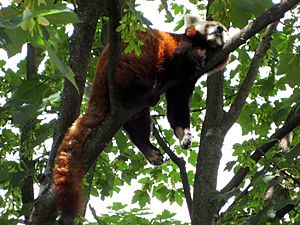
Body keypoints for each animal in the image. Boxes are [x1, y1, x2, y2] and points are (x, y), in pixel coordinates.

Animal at [52, 14, 230, 219]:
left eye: (224, 29)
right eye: (212, 25)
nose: (219, 29)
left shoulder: (185, 83)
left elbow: (177, 106)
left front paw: (183, 134)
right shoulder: (179, 49)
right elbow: (180, 62)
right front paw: (201, 53)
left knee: (138, 123)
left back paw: (147, 147)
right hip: (131, 57)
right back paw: (144, 96)